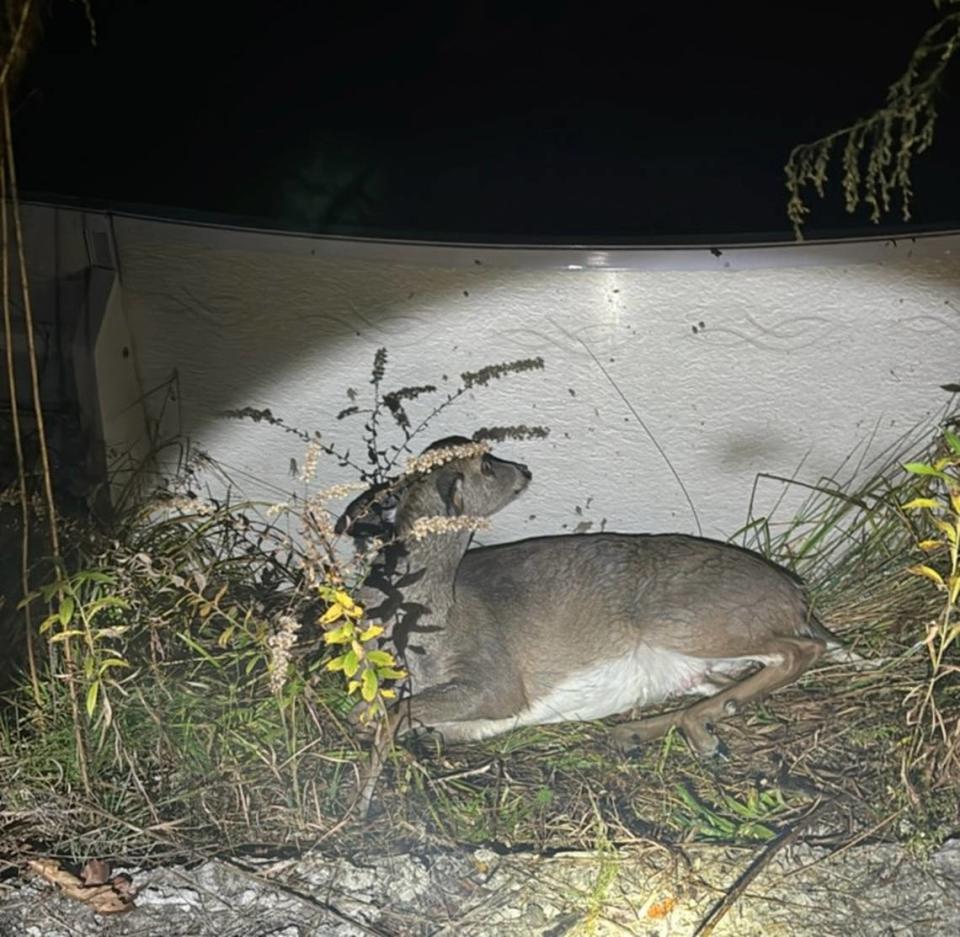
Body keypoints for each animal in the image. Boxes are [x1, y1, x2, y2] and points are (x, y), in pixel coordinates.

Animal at [338, 436, 848, 756]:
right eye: (485, 464)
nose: (524, 470)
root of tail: (797, 593)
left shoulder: (495, 680)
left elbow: (392, 714)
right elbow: (376, 714)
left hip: (692, 621)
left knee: (800, 651)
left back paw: (690, 733)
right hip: (699, 658)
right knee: (739, 679)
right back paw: (639, 734)